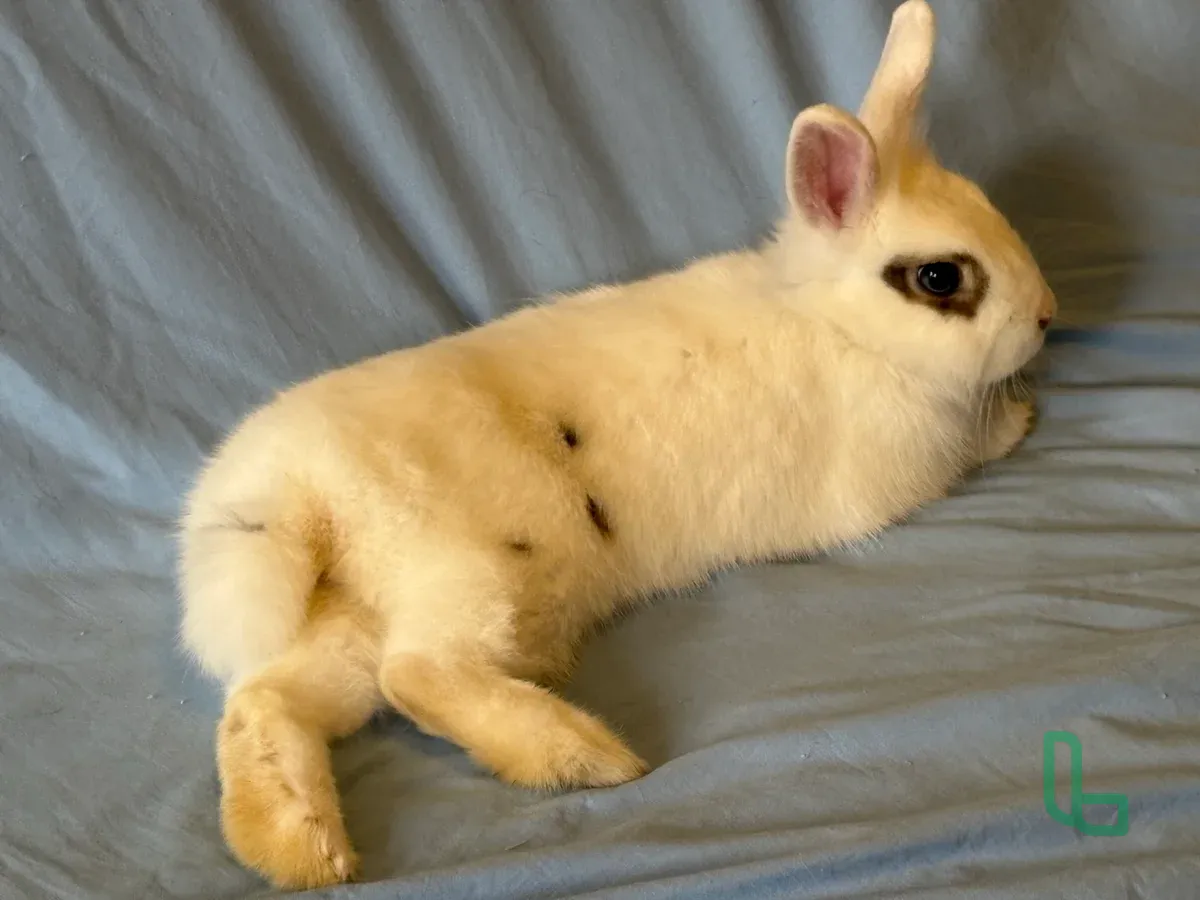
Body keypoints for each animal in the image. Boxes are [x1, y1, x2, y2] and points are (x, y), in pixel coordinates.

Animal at [177, 0, 1055, 889]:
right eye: (941, 279)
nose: (1048, 315)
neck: (838, 324)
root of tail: (292, 491)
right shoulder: (901, 475)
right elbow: (971, 451)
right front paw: (1019, 419)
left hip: (353, 615)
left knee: (265, 703)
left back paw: (301, 850)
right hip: (473, 568)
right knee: (416, 674)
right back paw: (586, 757)